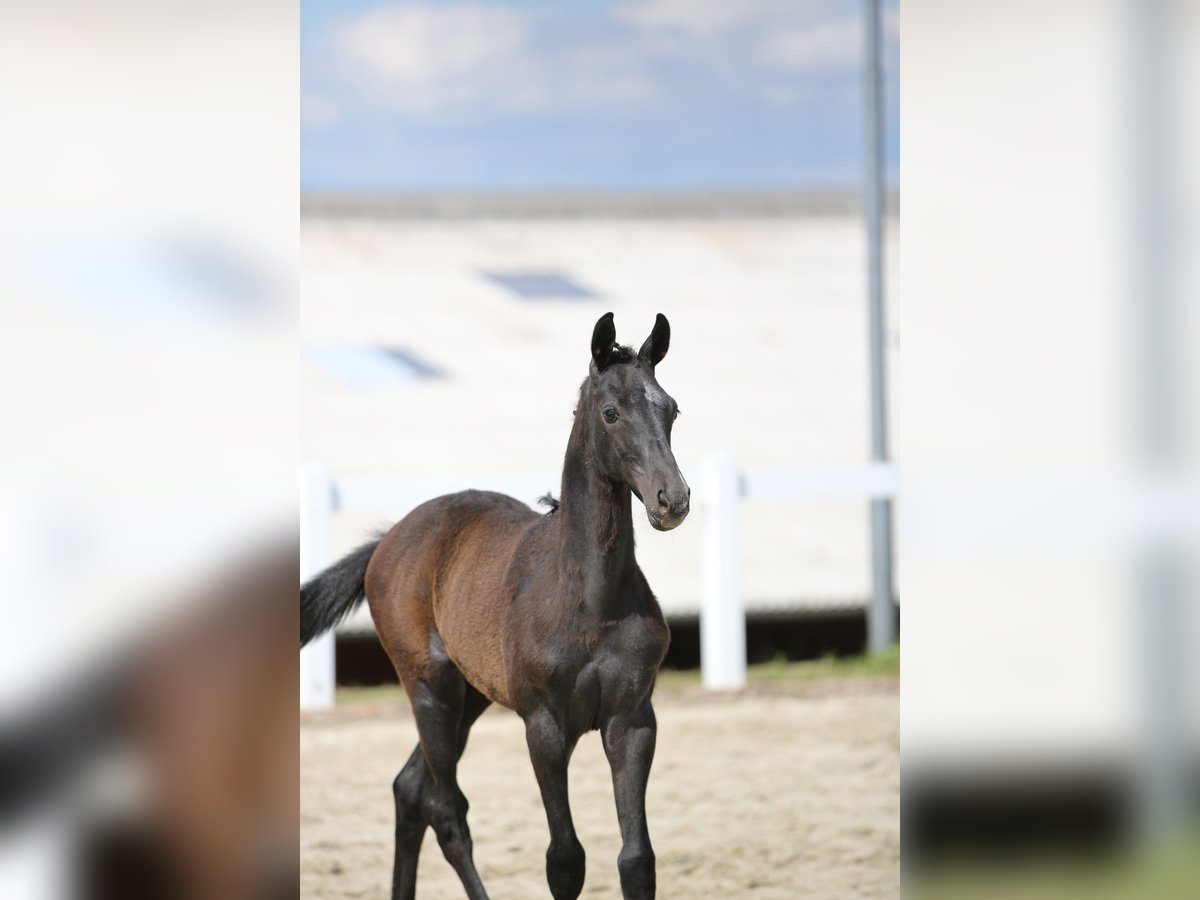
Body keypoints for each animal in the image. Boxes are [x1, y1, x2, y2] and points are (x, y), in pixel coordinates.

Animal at [300, 312, 691, 900]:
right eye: (611, 412)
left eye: (671, 408)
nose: (673, 500)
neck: (591, 601)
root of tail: (388, 539)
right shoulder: (544, 726)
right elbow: (565, 859)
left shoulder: (632, 721)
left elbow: (636, 859)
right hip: (431, 688)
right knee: (444, 808)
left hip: (471, 694)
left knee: (408, 789)